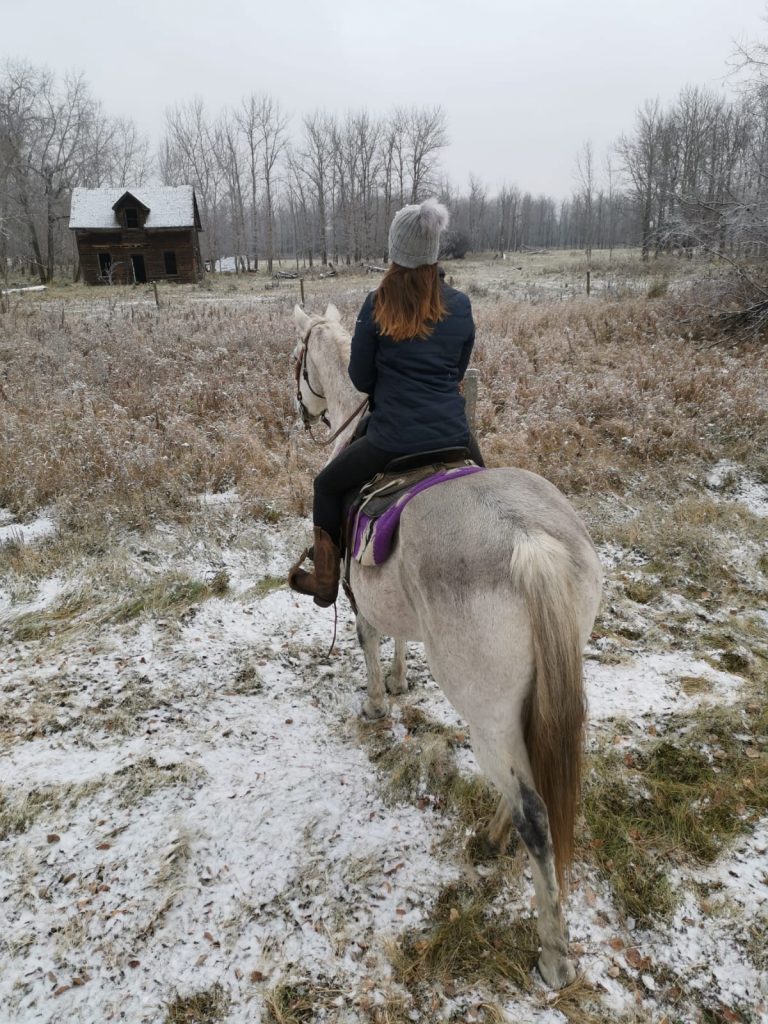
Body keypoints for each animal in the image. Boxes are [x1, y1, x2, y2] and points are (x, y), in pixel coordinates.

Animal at [290, 301, 606, 983]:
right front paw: (402, 681)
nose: (302, 413)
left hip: (487, 713)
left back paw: (551, 951)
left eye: (296, 361)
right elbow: (396, 639)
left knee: (533, 811)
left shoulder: (359, 594)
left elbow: (368, 638)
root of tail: (529, 544)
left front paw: (377, 703)